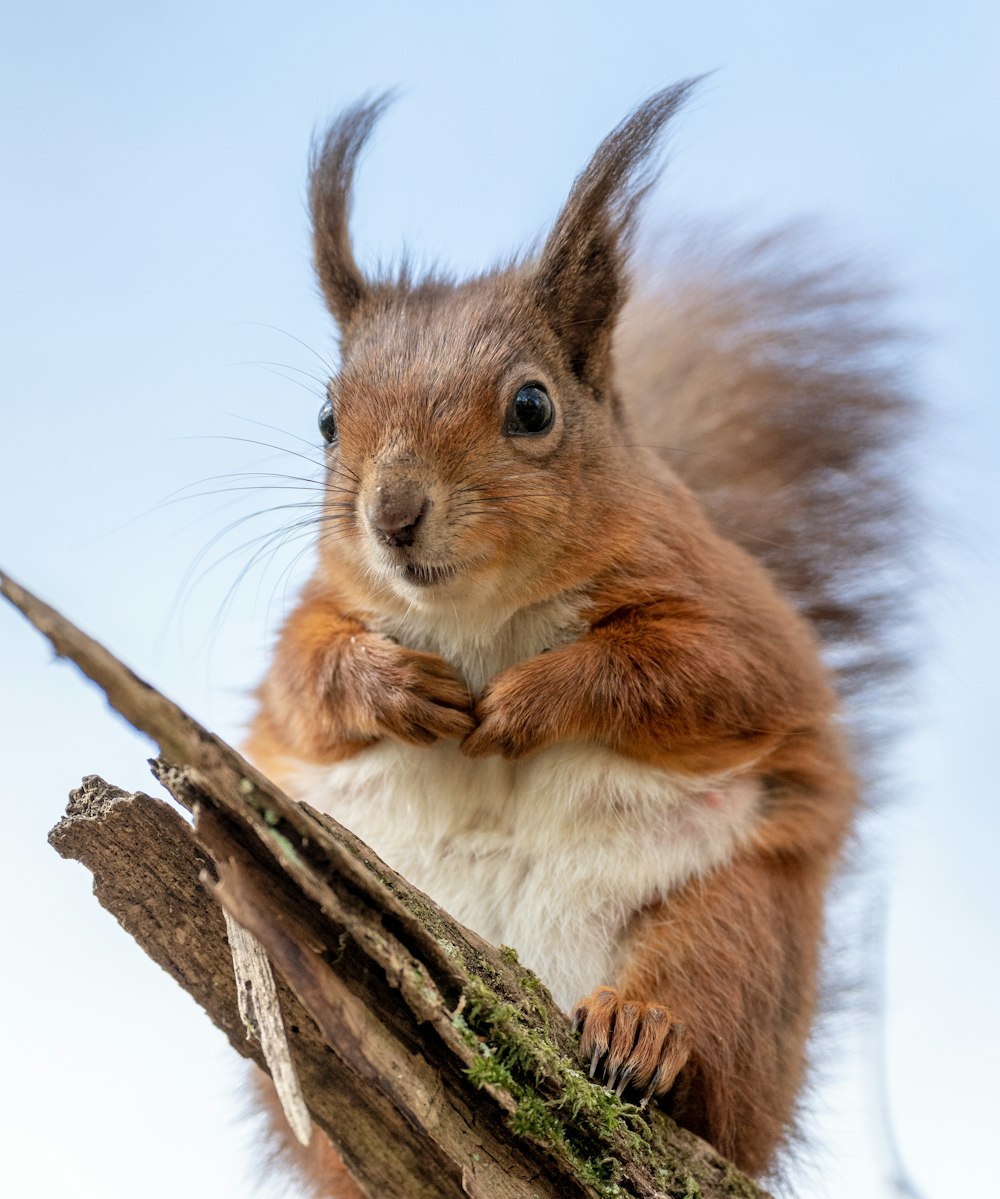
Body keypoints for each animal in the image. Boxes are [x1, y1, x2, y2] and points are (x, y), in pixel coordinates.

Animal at [243, 82, 911, 1189]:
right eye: (329, 418)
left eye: (531, 406)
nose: (391, 515)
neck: (479, 617)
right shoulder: (316, 614)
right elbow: (305, 682)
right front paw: (400, 688)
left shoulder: (732, 610)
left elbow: (698, 672)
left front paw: (530, 699)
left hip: (743, 922)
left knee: (703, 1015)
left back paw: (642, 1030)